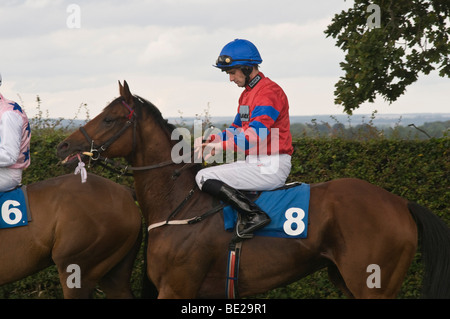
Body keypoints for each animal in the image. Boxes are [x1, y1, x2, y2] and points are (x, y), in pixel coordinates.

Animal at [57, 80, 450, 300]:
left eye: (109, 119)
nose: (63, 146)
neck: (179, 203)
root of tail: (400, 202)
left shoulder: (176, 287)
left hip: (374, 285)